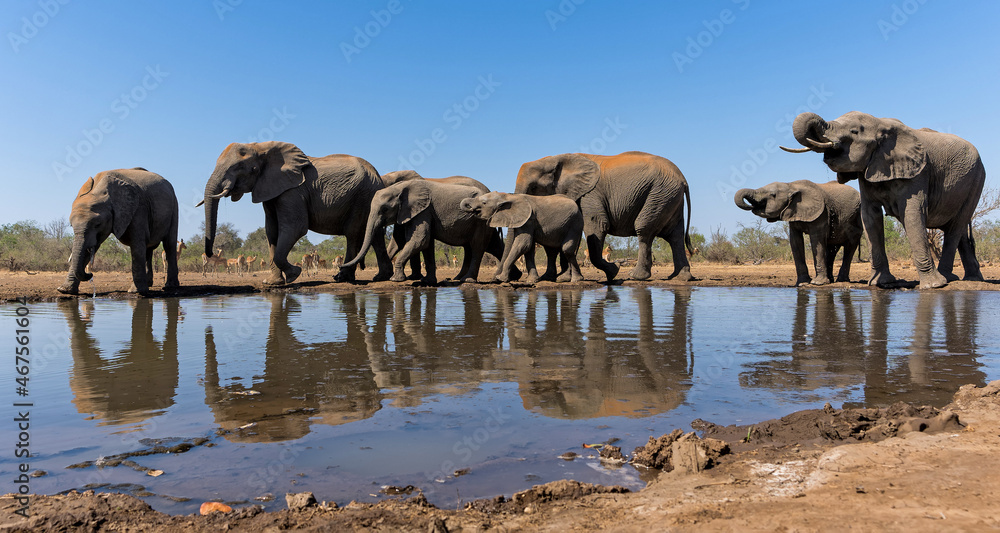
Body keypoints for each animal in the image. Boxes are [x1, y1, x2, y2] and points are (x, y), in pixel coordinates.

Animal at [199, 141, 391, 286]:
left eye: (240, 166)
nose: (210, 254)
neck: (261, 147)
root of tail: (377, 175)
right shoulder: (270, 188)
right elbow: (271, 231)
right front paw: (272, 283)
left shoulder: (293, 191)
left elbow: (295, 227)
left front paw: (293, 275)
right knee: (374, 235)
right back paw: (380, 277)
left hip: (362, 195)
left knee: (353, 233)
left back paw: (342, 279)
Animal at [343, 180, 505, 284]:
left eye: (385, 209)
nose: (340, 267)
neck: (400, 188)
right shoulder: (421, 212)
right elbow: (427, 245)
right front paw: (428, 281)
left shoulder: (423, 210)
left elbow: (421, 239)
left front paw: (395, 280)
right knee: (488, 246)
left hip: (481, 220)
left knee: (477, 247)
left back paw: (469, 280)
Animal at [514, 151, 694, 282]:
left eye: (534, 187)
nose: (515, 276)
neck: (557, 159)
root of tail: (683, 179)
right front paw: (565, 279)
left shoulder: (590, 195)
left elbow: (596, 227)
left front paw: (613, 272)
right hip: (669, 197)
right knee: (675, 236)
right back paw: (681, 277)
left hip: (659, 194)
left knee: (644, 230)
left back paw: (636, 276)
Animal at [782, 112, 985, 289]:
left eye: (854, 132)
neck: (880, 123)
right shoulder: (867, 171)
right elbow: (870, 218)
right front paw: (882, 283)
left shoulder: (919, 172)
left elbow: (912, 214)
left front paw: (932, 286)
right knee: (960, 231)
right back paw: (971, 279)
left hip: (976, 180)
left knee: (956, 227)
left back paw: (946, 280)